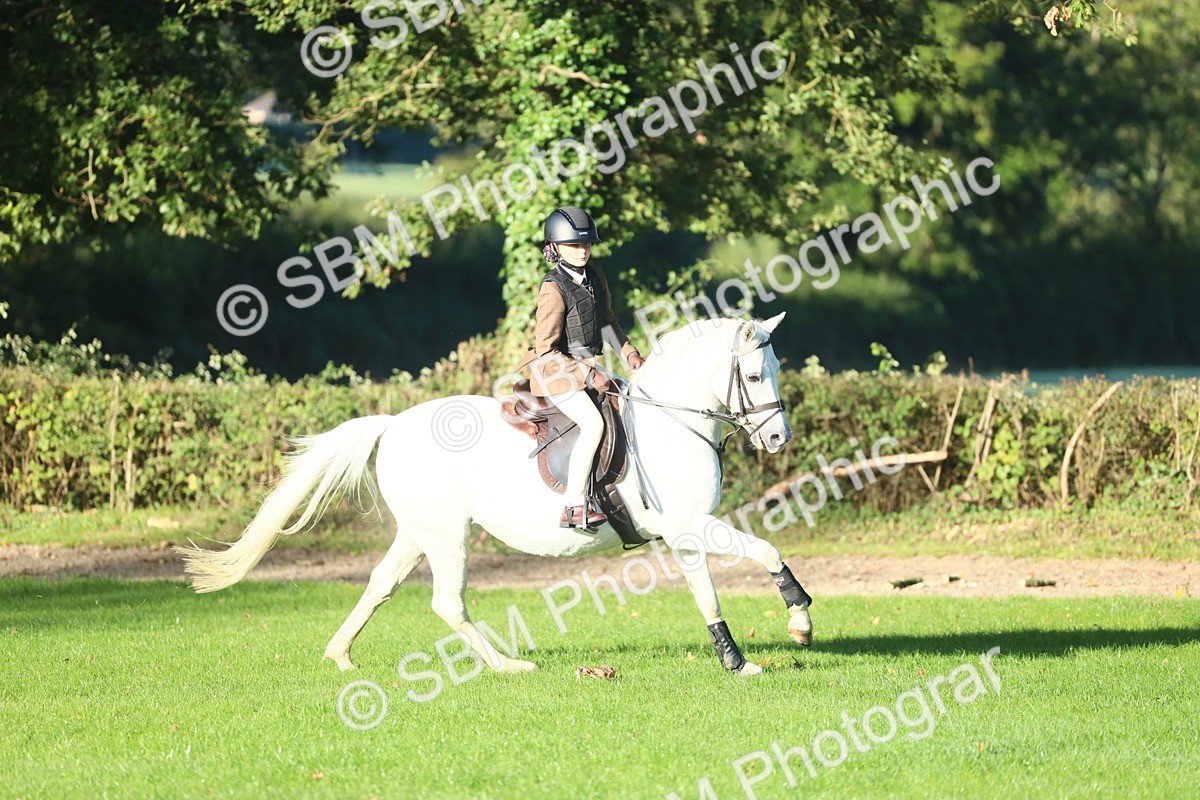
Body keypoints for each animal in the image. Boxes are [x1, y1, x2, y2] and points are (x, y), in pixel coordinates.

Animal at [178, 313, 814, 676]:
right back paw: (508, 666)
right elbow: (745, 565)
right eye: (752, 376)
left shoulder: (687, 529)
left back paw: (340, 655)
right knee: (447, 603)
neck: (671, 422)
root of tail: (393, 424)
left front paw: (767, 641)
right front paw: (776, 638)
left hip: (419, 532)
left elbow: (734, 574)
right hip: (447, 536)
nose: (778, 438)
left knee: (381, 584)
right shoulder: (686, 523)